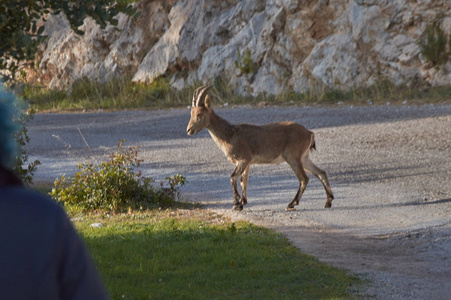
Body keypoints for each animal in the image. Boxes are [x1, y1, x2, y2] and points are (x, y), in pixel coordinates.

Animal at [185, 84, 334, 211]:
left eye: (199, 114)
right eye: (191, 114)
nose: (189, 130)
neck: (230, 134)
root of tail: (309, 133)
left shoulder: (243, 160)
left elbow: (233, 177)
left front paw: (236, 204)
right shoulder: (247, 163)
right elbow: (243, 181)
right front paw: (242, 203)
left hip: (293, 157)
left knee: (304, 179)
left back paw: (292, 203)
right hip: (304, 157)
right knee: (321, 173)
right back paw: (328, 201)